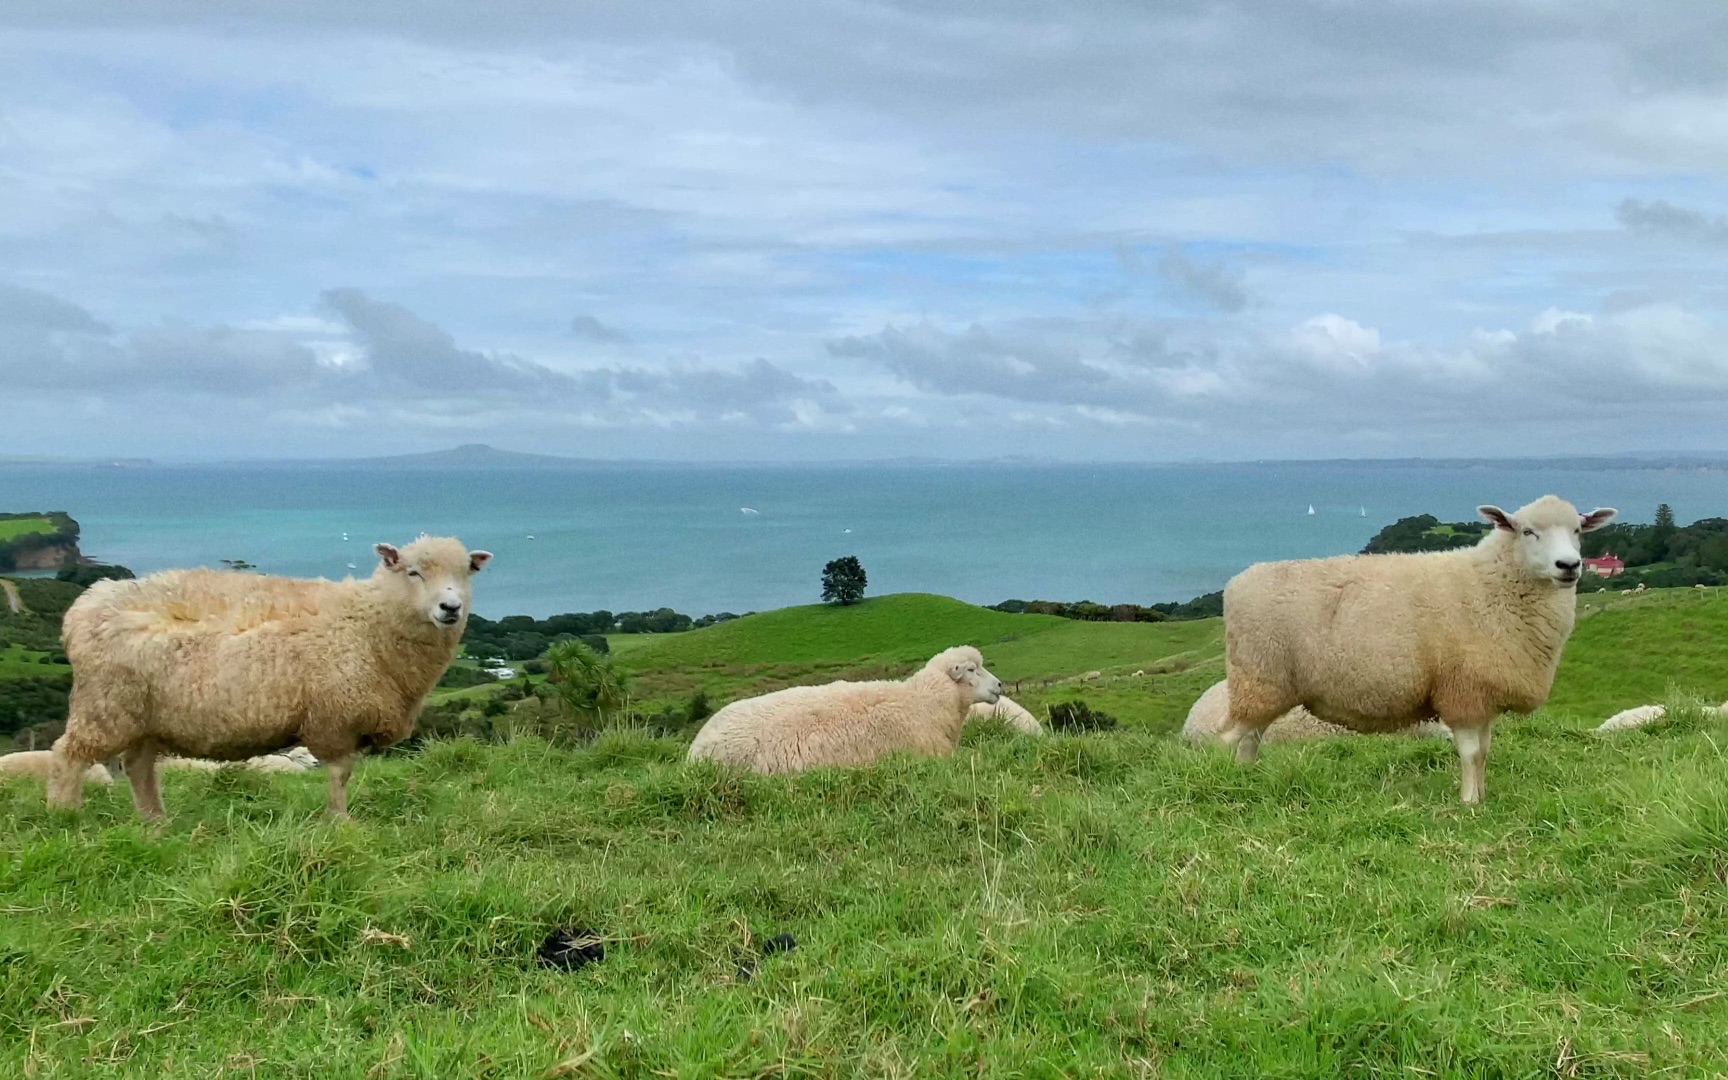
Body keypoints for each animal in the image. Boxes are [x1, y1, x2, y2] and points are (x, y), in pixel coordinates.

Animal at [49, 535, 494, 822]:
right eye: (413, 572)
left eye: (466, 573)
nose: (450, 607)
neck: (369, 623)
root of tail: (83, 607)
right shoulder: (334, 718)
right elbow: (340, 774)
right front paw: (339, 822)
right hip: (105, 706)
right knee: (68, 754)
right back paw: (65, 815)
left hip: (142, 717)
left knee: (138, 768)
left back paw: (155, 823)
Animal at [1223, 494, 1610, 801]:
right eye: (1528, 531)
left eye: (1578, 530)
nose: (1569, 565)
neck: (1492, 584)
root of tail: (1236, 584)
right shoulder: (1461, 690)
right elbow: (1471, 753)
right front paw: (1469, 802)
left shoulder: (1481, 696)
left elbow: (1485, 752)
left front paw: (1482, 795)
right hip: (1259, 679)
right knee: (1231, 739)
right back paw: (1230, 785)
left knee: (1250, 740)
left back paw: (1248, 780)